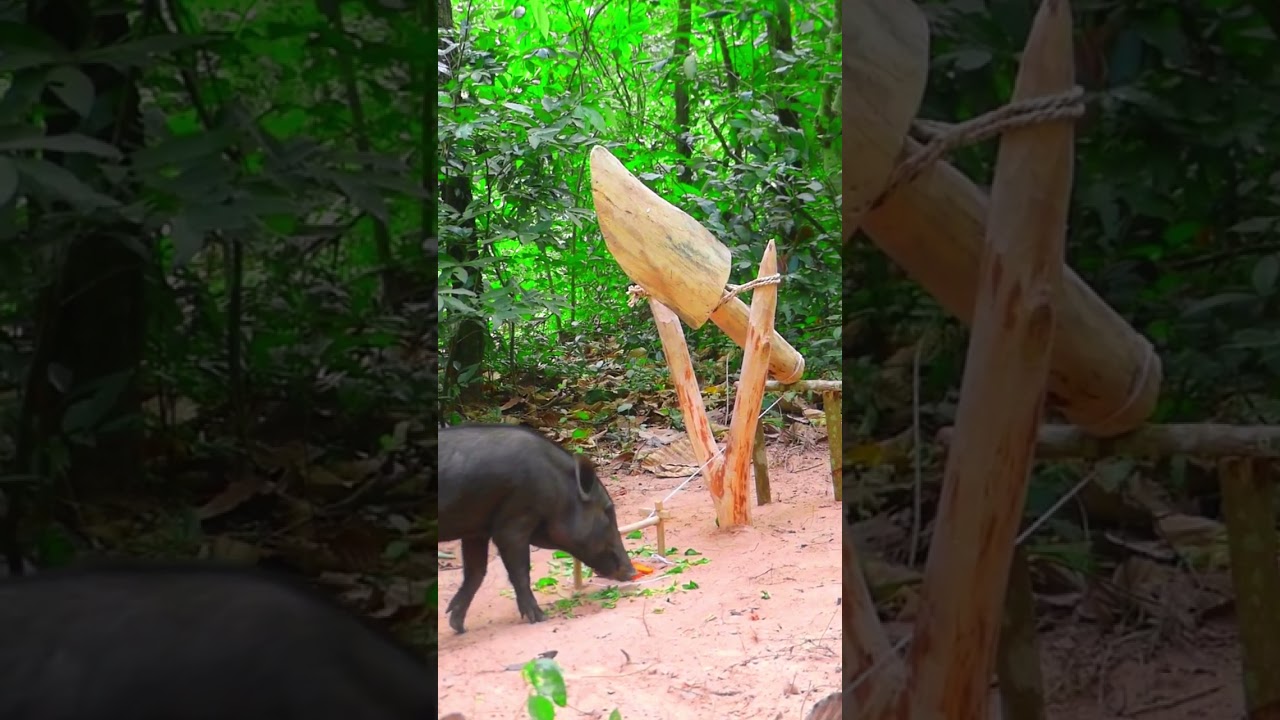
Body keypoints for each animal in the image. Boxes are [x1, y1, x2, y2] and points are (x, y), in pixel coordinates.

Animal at [439, 424, 636, 633]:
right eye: (608, 511)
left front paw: (458, 626)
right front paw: (541, 618)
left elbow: (476, 572)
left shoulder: (476, 531)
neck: (557, 488)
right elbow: (520, 572)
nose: (633, 573)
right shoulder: (513, 522)